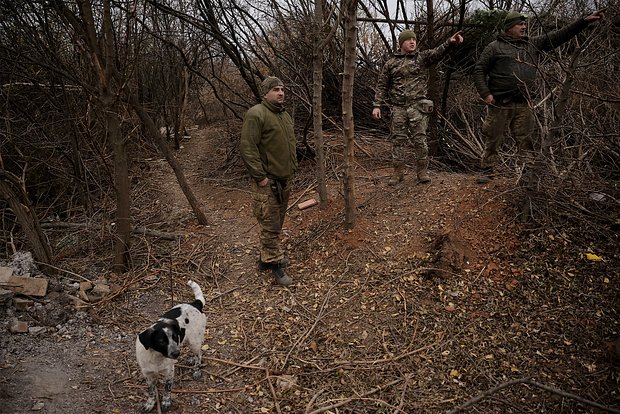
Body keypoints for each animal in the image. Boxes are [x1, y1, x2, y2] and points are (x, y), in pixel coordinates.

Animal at [135, 280, 207, 412]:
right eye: (161, 341)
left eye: (174, 337)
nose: (176, 354)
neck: (156, 357)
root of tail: (195, 304)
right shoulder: (147, 374)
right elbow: (151, 391)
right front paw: (149, 404)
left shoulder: (169, 372)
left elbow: (167, 389)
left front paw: (166, 402)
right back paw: (191, 360)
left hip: (194, 341)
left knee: (199, 354)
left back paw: (196, 369)